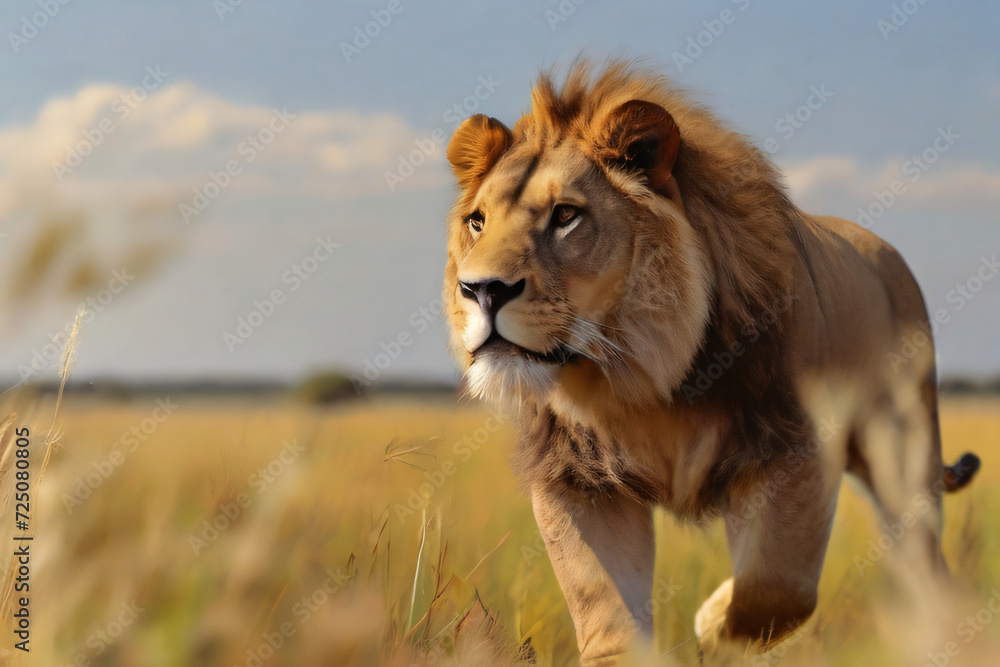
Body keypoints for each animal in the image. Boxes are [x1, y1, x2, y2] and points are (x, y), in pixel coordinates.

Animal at [442, 60, 980, 664]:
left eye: (566, 216)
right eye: (478, 222)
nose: (480, 290)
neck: (636, 374)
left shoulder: (796, 453)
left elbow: (775, 591)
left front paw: (708, 619)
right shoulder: (576, 477)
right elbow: (610, 621)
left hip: (905, 456)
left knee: (923, 563)